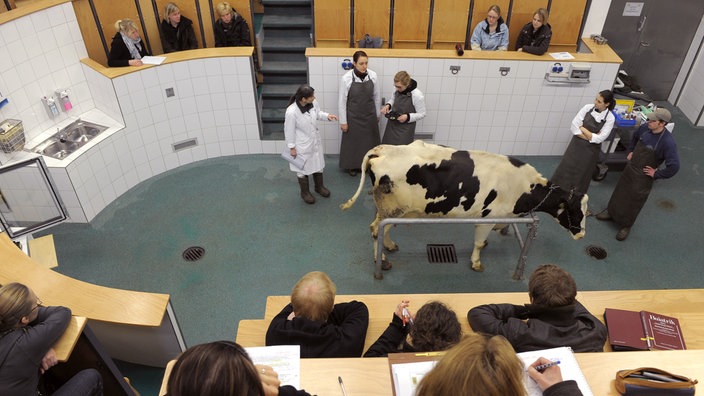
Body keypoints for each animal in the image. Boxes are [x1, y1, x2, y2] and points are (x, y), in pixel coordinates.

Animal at [340, 140, 588, 272]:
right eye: (574, 211)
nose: (581, 234)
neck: (521, 185)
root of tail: (383, 149)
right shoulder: (486, 218)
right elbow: (478, 242)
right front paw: (476, 262)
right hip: (394, 209)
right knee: (376, 230)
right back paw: (381, 260)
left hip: (395, 210)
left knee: (384, 229)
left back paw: (389, 246)